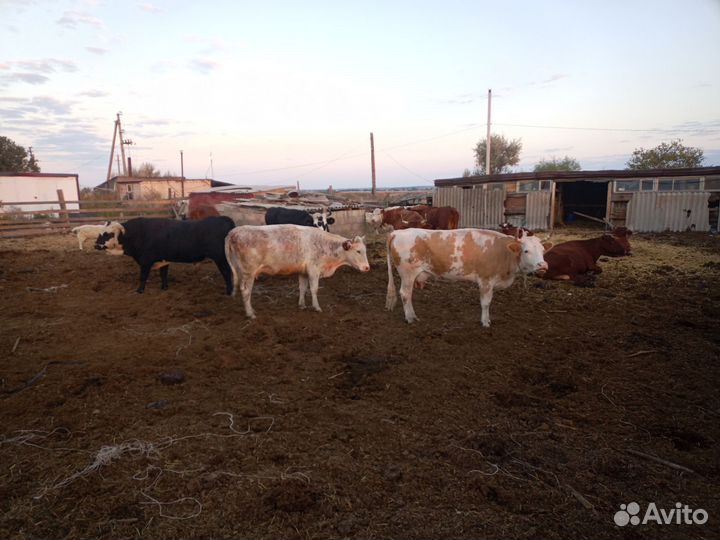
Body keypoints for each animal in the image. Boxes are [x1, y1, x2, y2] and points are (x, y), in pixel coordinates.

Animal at [94, 216, 236, 294]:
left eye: (107, 234)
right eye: (100, 232)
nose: (95, 245)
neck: (138, 233)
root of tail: (223, 219)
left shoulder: (145, 261)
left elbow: (143, 277)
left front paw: (139, 291)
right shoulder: (163, 259)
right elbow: (163, 274)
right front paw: (164, 288)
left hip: (220, 258)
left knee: (226, 272)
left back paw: (229, 292)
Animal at [224, 224, 370, 318]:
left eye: (365, 250)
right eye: (358, 251)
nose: (367, 267)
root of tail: (233, 232)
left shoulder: (303, 271)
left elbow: (302, 288)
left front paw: (302, 305)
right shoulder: (313, 270)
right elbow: (314, 289)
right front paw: (316, 307)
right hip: (248, 273)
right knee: (246, 291)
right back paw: (250, 314)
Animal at [386, 229, 551, 326]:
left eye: (543, 250)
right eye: (526, 251)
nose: (543, 265)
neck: (504, 252)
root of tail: (397, 232)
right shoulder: (486, 280)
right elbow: (485, 303)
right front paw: (485, 322)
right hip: (407, 274)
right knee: (405, 294)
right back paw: (410, 318)